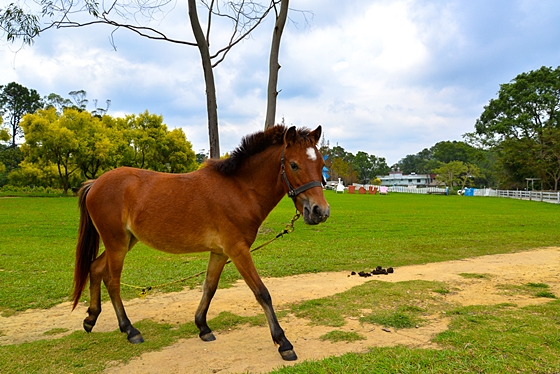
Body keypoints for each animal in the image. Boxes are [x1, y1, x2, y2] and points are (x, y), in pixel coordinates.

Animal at [72, 124, 330, 360]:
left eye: (320, 165)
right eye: (294, 165)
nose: (320, 211)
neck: (240, 189)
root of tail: (95, 183)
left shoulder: (220, 253)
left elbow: (209, 287)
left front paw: (202, 327)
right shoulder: (238, 251)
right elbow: (261, 292)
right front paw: (283, 343)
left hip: (126, 241)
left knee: (96, 268)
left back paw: (91, 318)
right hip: (116, 243)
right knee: (112, 282)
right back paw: (130, 330)